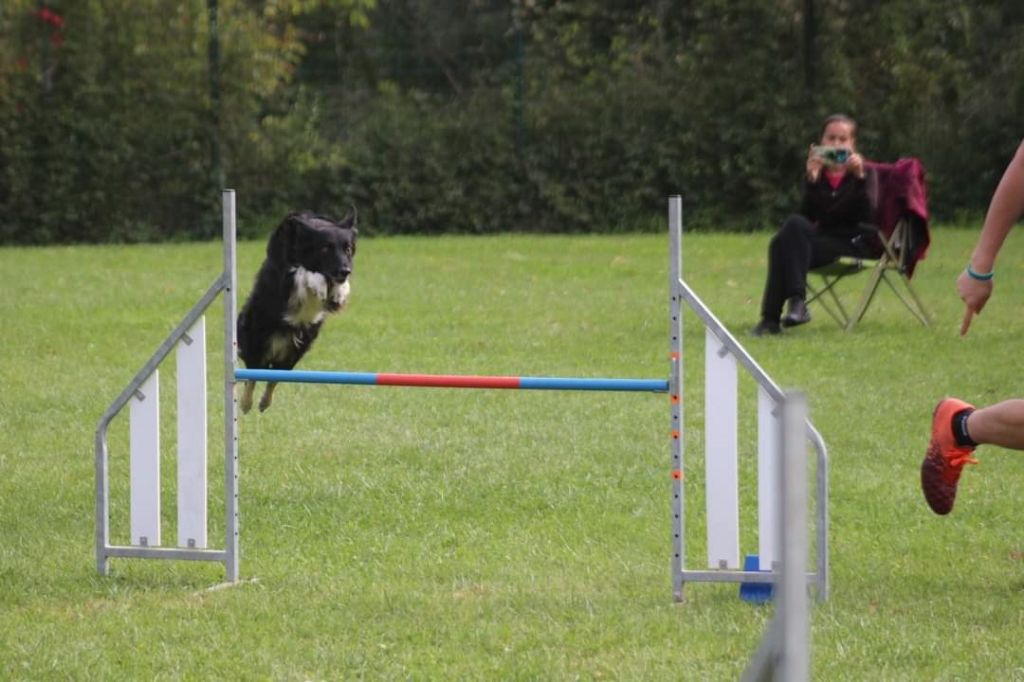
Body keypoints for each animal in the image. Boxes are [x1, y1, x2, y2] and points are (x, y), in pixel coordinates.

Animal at [237, 208, 358, 409]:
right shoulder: (285, 278)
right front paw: (319, 284)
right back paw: (246, 403)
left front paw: (340, 292)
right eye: (325, 248)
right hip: (256, 337)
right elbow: (304, 272)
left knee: (274, 377)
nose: (345, 271)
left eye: (347, 249)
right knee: (252, 373)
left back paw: (264, 402)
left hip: (298, 347)